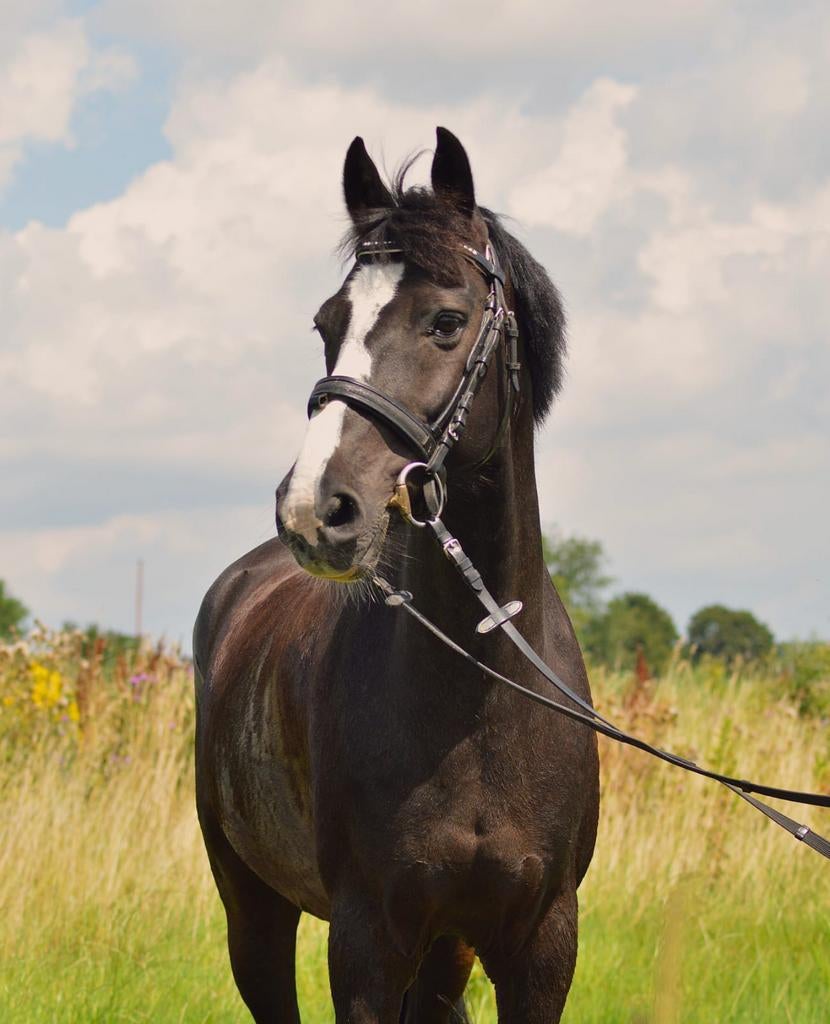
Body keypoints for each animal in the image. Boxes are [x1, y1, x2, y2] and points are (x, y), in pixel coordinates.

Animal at [194, 127, 600, 1023]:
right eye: (327, 323)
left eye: (446, 321)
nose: (315, 509)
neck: (483, 685)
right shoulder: (368, 943)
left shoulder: (540, 946)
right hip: (253, 912)